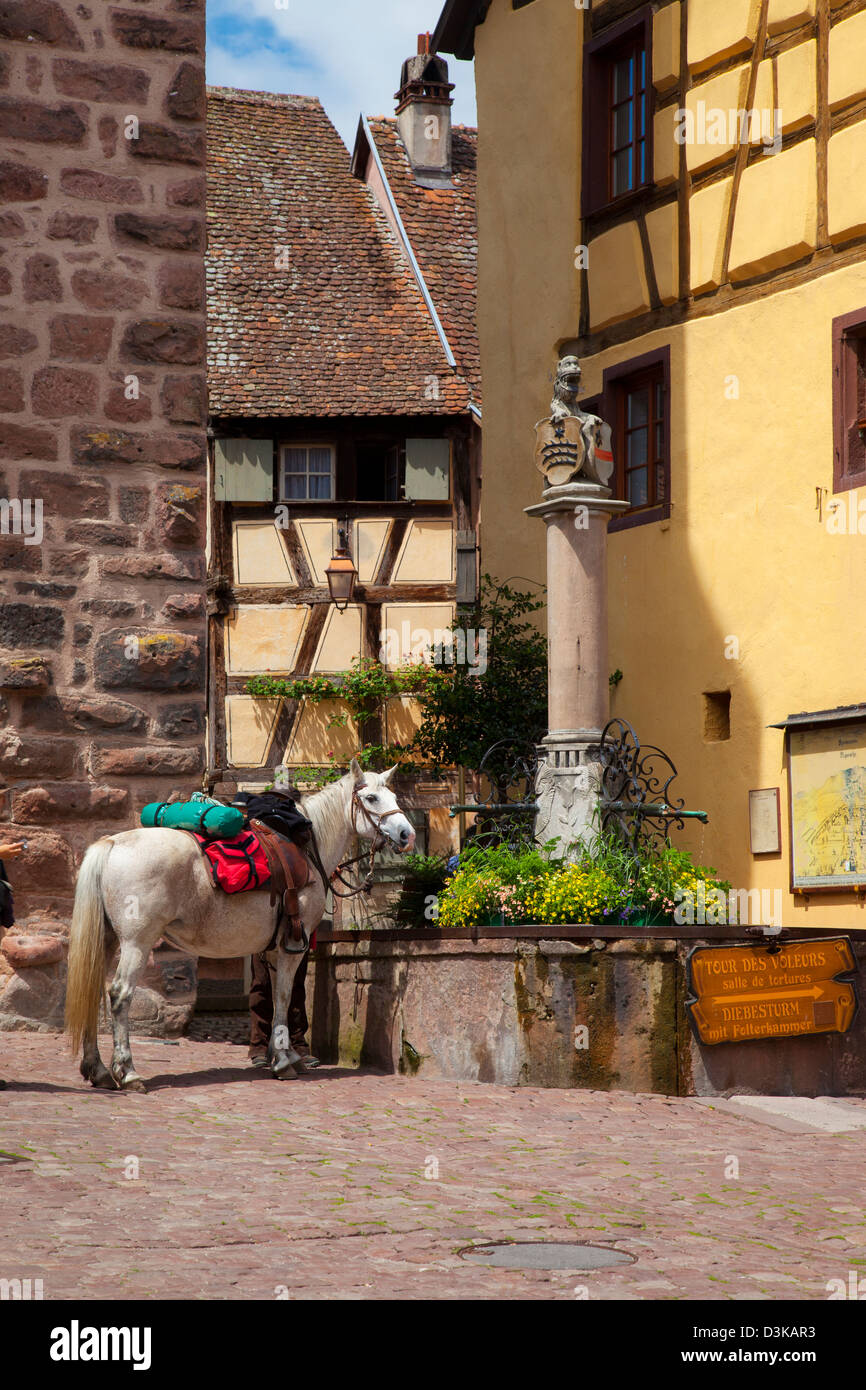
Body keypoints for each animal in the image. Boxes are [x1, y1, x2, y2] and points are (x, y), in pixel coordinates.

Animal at [65, 761, 417, 1095]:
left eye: (393, 796)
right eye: (371, 798)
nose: (406, 835)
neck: (307, 849)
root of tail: (111, 843)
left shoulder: (273, 948)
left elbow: (277, 998)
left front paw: (284, 1055)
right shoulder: (293, 947)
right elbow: (284, 996)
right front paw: (283, 1061)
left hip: (108, 940)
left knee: (93, 993)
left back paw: (98, 1070)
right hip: (138, 942)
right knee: (120, 995)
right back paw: (128, 1072)